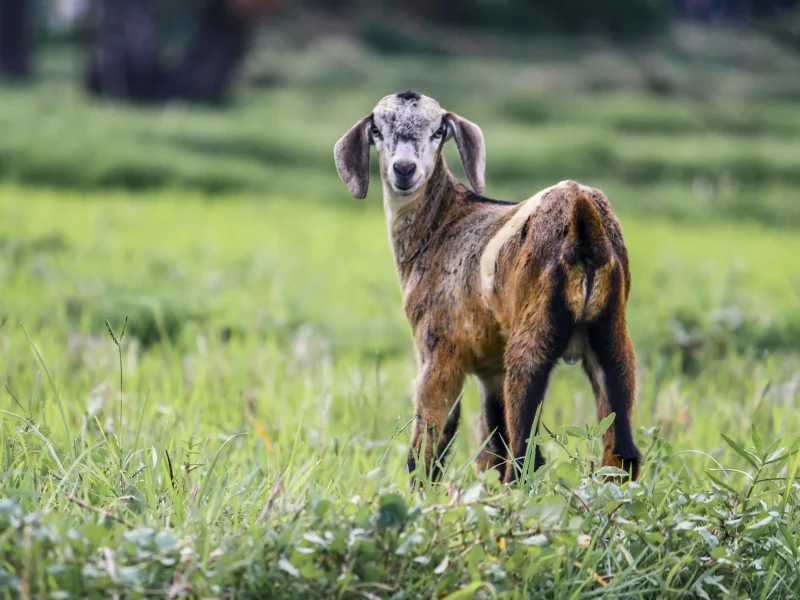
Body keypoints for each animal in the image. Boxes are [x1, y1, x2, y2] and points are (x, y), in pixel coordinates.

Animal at [334, 91, 641, 484]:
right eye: (376, 129)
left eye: (438, 131)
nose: (404, 169)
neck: (441, 224)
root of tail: (583, 217)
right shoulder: (491, 368)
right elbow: (493, 443)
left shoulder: (438, 349)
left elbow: (430, 444)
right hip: (612, 333)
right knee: (621, 450)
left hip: (532, 338)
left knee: (526, 455)